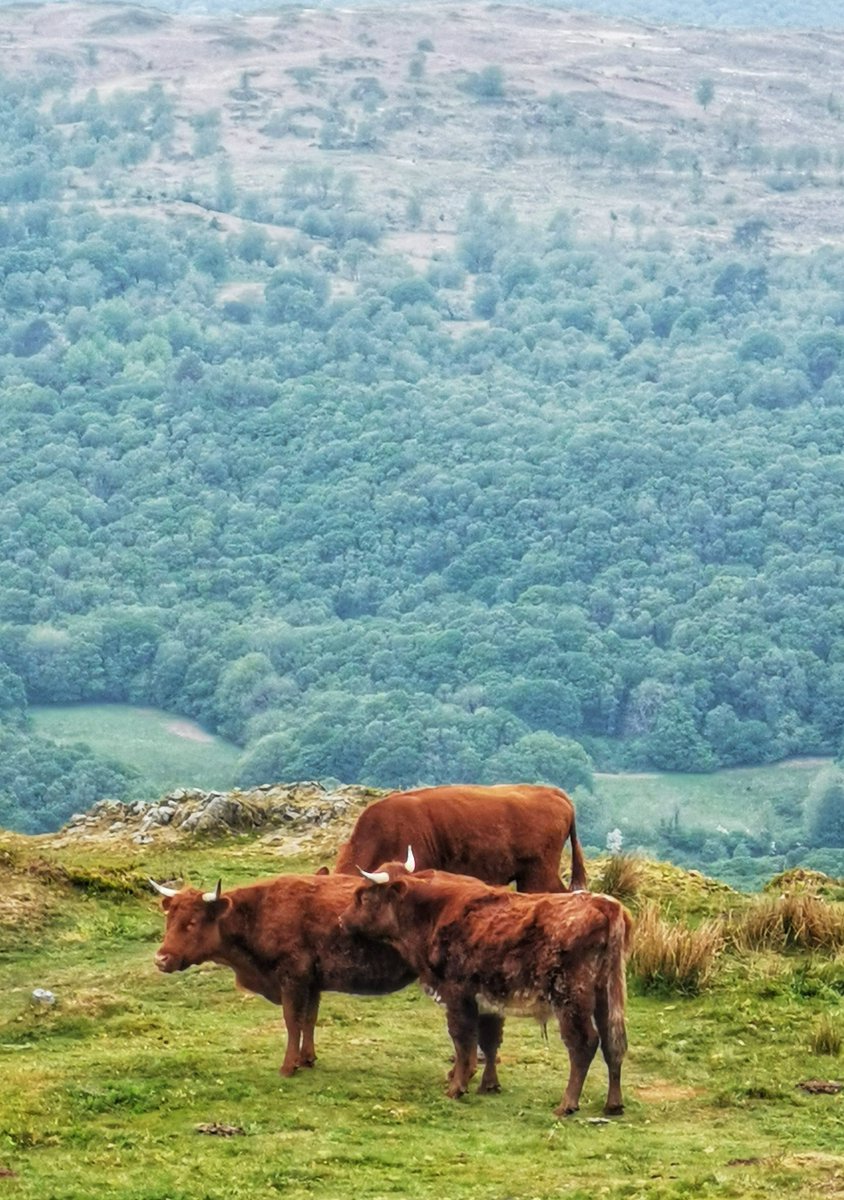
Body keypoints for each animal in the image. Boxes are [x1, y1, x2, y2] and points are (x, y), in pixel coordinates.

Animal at [153, 873, 417, 1080]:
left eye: (192, 922)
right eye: (169, 920)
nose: (160, 959)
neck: (258, 913)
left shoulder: (293, 979)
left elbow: (292, 1021)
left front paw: (288, 1067)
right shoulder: (312, 984)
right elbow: (309, 1019)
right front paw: (307, 1059)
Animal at [343, 864, 633, 1113]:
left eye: (363, 896)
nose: (342, 919)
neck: (433, 912)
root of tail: (604, 903)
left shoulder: (457, 995)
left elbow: (463, 1041)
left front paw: (457, 1087)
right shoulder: (488, 1002)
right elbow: (490, 1041)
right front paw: (489, 1085)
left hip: (571, 998)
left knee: (584, 1043)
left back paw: (567, 1104)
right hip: (607, 995)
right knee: (613, 1044)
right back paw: (613, 1104)